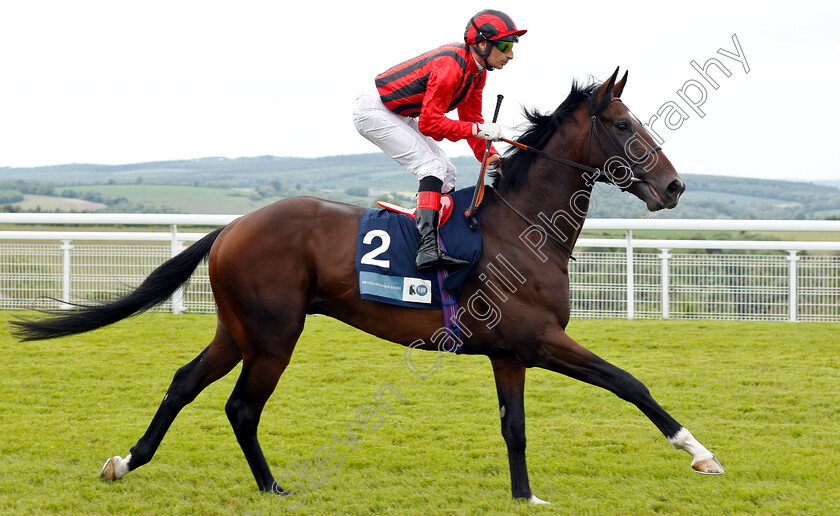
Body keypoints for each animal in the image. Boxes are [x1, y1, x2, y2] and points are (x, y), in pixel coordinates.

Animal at [11, 67, 720, 504]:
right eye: (623, 125)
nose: (675, 186)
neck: (523, 230)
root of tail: (232, 225)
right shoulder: (540, 339)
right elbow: (631, 383)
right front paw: (700, 454)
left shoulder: (510, 353)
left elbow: (515, 427)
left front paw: (525, 495)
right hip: (274, 334)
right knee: (242, 407)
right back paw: (273, 488)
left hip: (239, 330)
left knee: (185, 382)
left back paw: (126, 462)